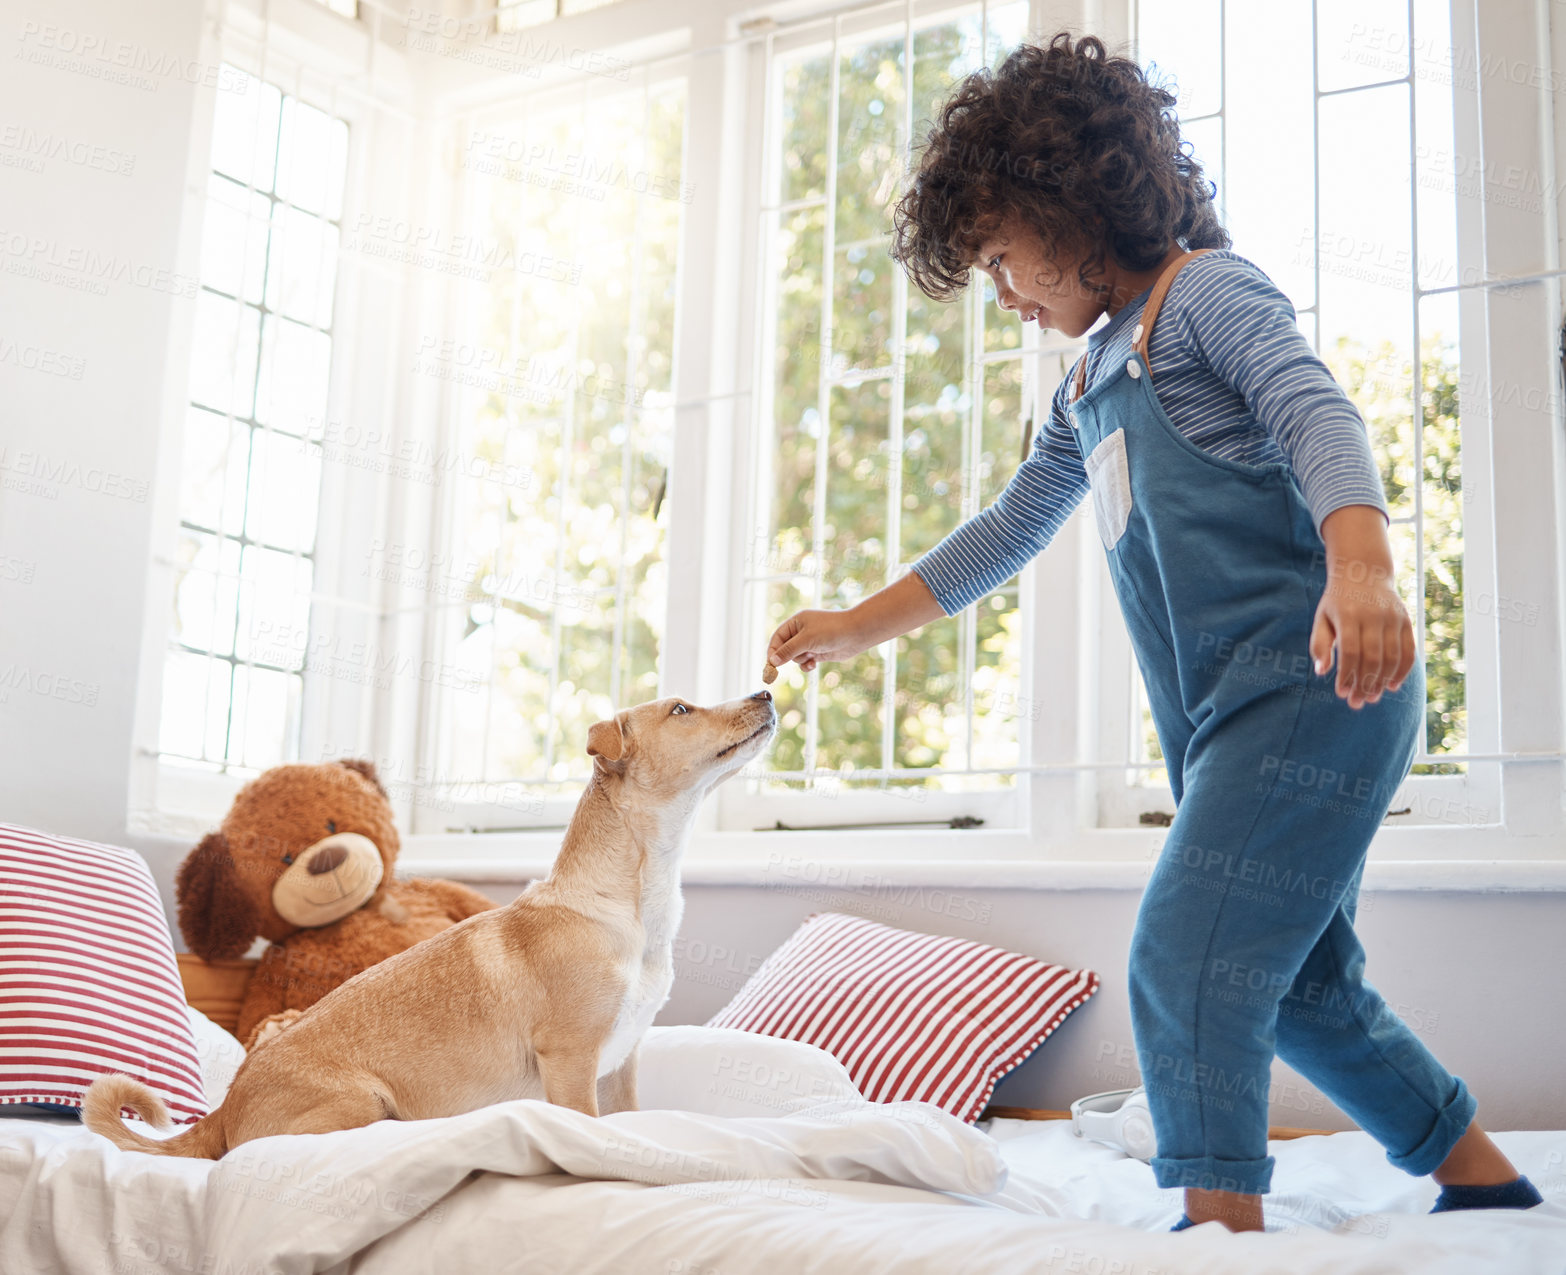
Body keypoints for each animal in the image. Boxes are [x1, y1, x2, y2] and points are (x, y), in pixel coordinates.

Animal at [79, 695, 776, 1165]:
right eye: (682, 709)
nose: (766, 694)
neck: (628, 905)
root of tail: (223, 1110)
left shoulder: (620, 1066)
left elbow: (628, 1120)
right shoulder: (573, 1063)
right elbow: (588, 1126)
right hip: (360, 1103)